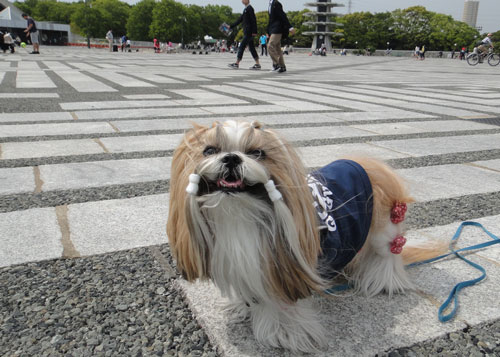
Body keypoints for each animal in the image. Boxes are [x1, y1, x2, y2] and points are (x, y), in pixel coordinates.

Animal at [167, 119, 446, 350]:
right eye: (209, 150)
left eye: (257, 153)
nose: (232, 158)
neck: (239, 214)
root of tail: (370, 165)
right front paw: (242, 306)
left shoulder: (285, 267)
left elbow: (282, 303)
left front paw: (285, 332)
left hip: (384, 228)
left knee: (388, 255)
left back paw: (384, 282)